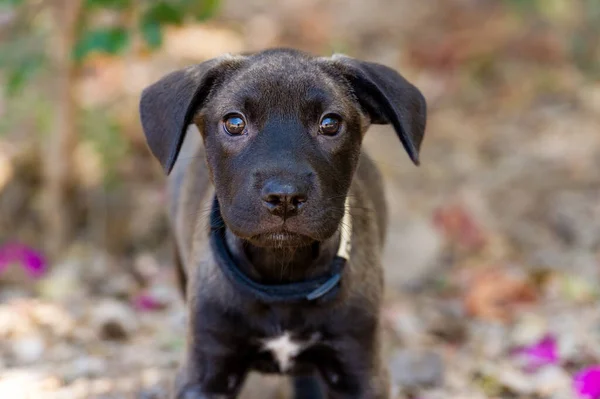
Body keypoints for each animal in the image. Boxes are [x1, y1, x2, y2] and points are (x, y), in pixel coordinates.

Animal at [139, 48, 426, 398]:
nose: (285, 197)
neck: (283, 277)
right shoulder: (206, 371)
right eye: (234, 122)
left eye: (330, 123)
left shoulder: (359, 367)